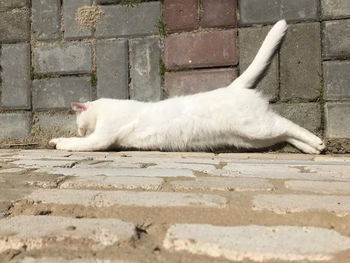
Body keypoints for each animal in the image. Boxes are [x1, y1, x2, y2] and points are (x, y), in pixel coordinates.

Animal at [49, 20, 326, 155]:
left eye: (79, 124)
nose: (81, 130)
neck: (105, 109)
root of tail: (233, 88)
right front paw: (57, 139)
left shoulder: (102, 137)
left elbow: (80, 144)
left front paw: (63, 143)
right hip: (251, 139)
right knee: (284, 133)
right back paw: (310, 148)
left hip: (256, 127)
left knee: (287, 124)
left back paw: (318, 143)